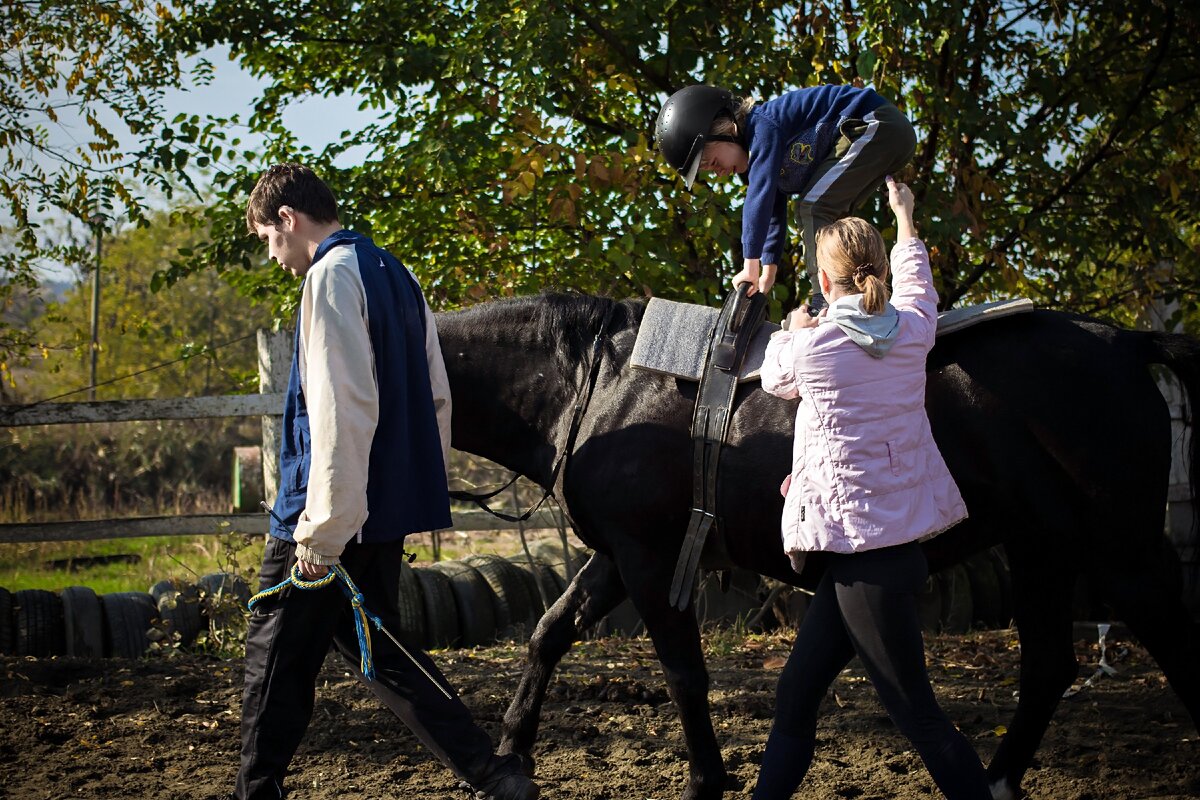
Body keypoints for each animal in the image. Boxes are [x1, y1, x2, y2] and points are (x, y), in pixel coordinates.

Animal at [436, 296, 1200, 800]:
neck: (597, 384)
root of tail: (1124, 341)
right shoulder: (618, 558)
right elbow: (549, 631)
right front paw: (511, 755)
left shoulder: (650, 560)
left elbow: (684, 674)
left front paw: (706, 780)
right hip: (1042, 547)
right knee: (1047, 667)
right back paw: (999, 782)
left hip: (1122, 550)